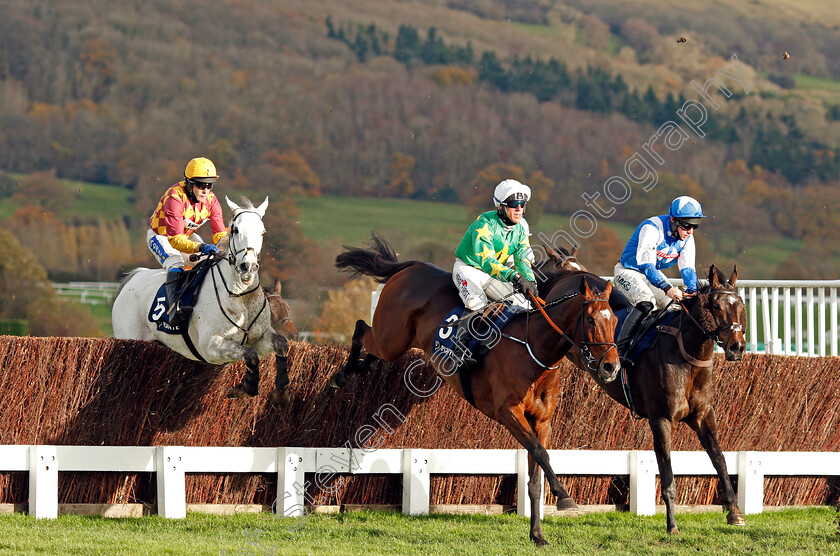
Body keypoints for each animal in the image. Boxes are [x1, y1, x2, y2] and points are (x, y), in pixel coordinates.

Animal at [328, 232, 624, 544]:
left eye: (615, 319)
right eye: (590, 320)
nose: (611, 367)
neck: (534, 347)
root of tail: (412, 266)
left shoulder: (542, 421)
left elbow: (535, 475)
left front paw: (537, 534)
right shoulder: (508, 412)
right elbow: (541, 454)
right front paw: (564, 497)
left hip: (393, 342)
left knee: (371, 348)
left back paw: (356, 369)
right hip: (391, 337)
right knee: (360, 327)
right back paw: (341, 375)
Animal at [544, 264, 748, 536]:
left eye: (741, 305)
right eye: (715, 305)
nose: (737, 347)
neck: (687, 356)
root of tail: (568, 272)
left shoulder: (704, 415)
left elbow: (720, 460)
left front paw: (735, 512)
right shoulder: (661, 419)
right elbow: (668, 474)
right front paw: (672, 525)